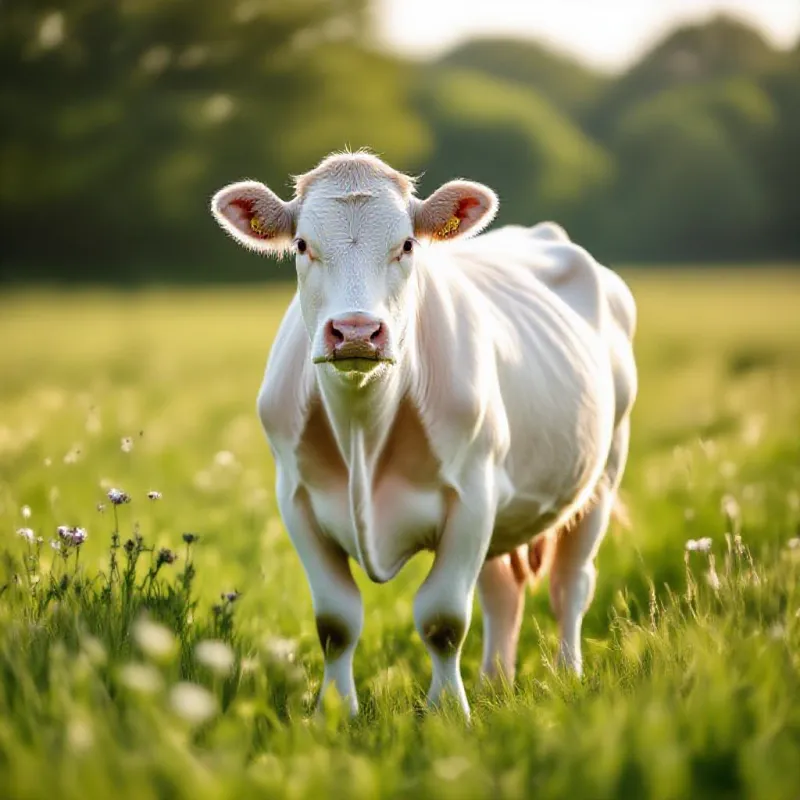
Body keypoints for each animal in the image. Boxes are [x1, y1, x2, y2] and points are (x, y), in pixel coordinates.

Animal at [210, 151, 637, 718]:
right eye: (302, 245)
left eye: (407, 244)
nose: (355, 332)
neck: (363, 432)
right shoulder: (296, 500)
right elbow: (336, 623)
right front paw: (334, 714)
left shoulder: (473, 497)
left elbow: (443, 620)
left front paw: (447, 714)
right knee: (502, 591)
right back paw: (494, 684)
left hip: (602, 473)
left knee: (570, 585)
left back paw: (567, 676)